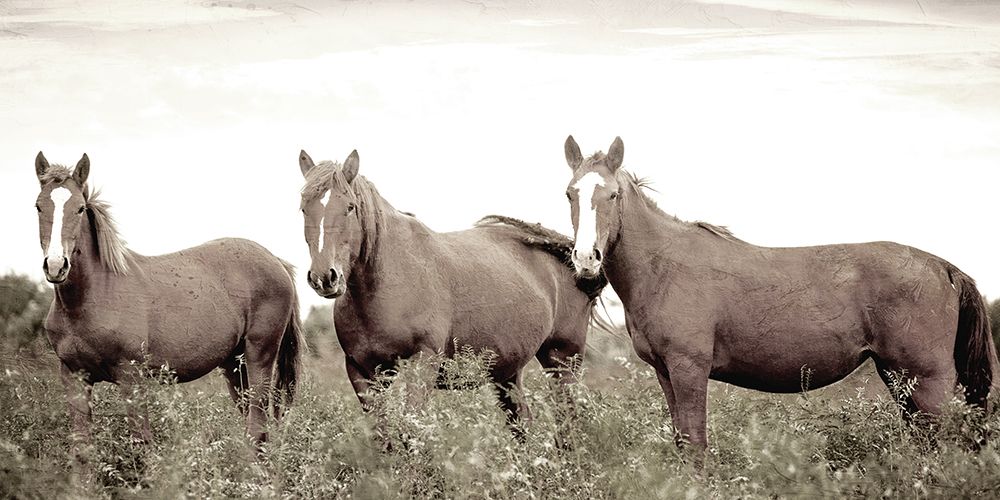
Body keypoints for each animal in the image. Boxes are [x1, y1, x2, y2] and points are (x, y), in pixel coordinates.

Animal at [32, 152, 304, 461]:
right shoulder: (74, 377)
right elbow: (82, 449)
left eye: (79, 208)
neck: (90, 298)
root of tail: (276, 261)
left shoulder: (131, 378)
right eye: (38, 206)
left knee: (257, 427)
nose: (56, 266)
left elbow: (141, 443)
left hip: (259, 358)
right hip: (234, 366)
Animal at [295, 149, 605, 439]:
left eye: (349, 207)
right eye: (303, 208)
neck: (386, 282)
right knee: (522, 425)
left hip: (562, 362)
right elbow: (383, 435)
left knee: (568, 420)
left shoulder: (422, 364)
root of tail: (574, 259)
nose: (324, 277)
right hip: (507, 373)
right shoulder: (362, 371)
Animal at [555, 136, 999, 452]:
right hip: (898, 377)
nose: (587, 259)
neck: (664, 266)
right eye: (570, 193)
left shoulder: (689, 369)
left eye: (612, 195)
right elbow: (682, 442)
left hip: (927, 380)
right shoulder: (666, 372)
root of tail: (943, 267)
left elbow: (696, 443)